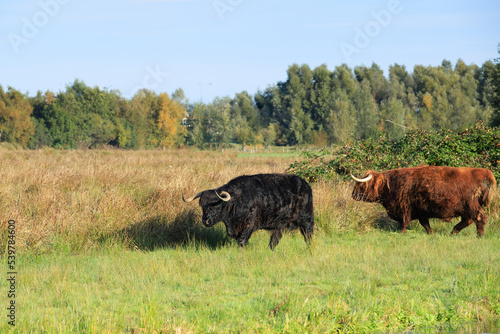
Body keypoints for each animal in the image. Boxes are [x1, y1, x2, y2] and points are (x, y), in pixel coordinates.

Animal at [182, 174, 314, 249]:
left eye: (216, 205)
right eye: (202, 206)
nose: (206, 221)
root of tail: (305, 184)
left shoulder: (249, 225)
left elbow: (242, 241)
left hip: (306, 219)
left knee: (308, 235)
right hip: (279, 225)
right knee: (275, 238)